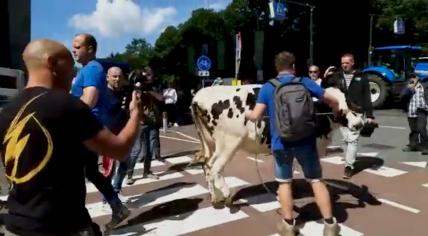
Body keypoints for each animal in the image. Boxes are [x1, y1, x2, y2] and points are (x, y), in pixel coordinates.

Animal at [191, 85, 364, 206]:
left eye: (349, 102)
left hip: (211, 143)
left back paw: (215, 199)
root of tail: (198, 97)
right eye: (335, 106)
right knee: (215, 167)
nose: (358, 124)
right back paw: (226, 196)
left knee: (206, 165)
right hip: (229, 143)